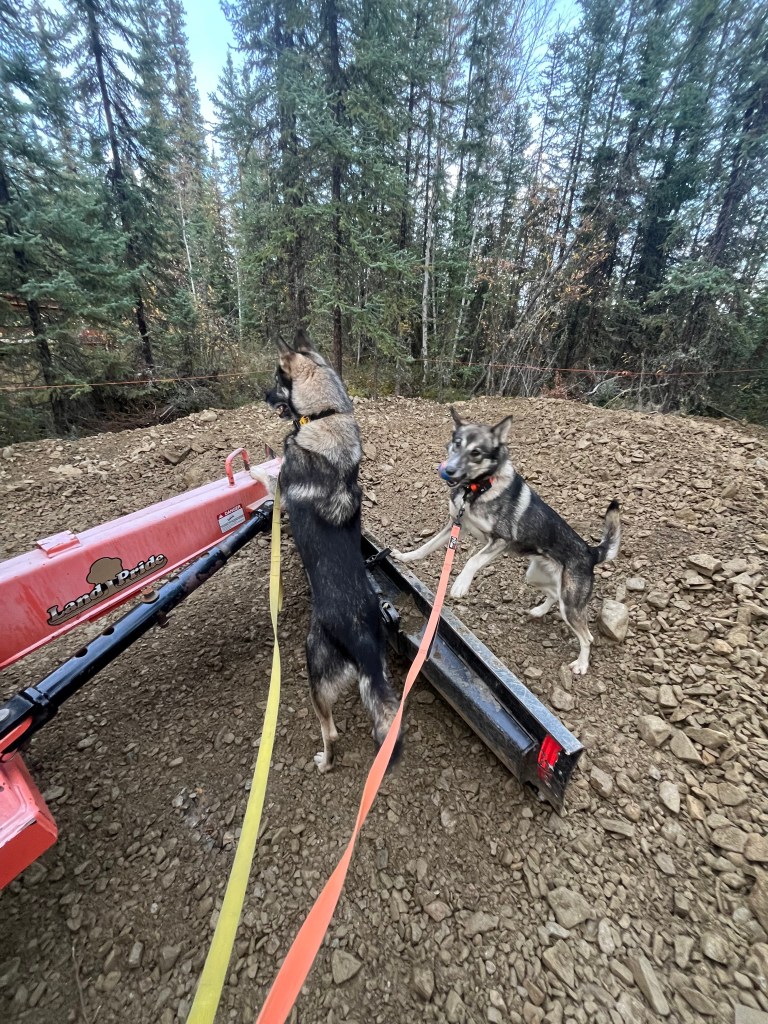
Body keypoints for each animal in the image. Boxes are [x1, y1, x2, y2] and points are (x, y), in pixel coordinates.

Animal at [264, 330, 401, 772]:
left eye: (276, 381)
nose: (260, 395)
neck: (326, 414)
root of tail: (364, 647)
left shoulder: (284, 482)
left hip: (315, 672)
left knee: (332, 731)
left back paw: (324, 760)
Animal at [391, 407, 621, 675]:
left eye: (476, 453)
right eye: (457, 444)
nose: (449, 470)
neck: (476, 489)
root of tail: (591, 552)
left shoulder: (500, 541)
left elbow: (472, 560)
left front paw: (460, 585)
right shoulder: (455, 525)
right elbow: (425, 547)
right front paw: (404, 556)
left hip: (570, 602)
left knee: (585, 636)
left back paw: (582, 664)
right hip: (537, 577)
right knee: (554, 595)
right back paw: (539, 611)